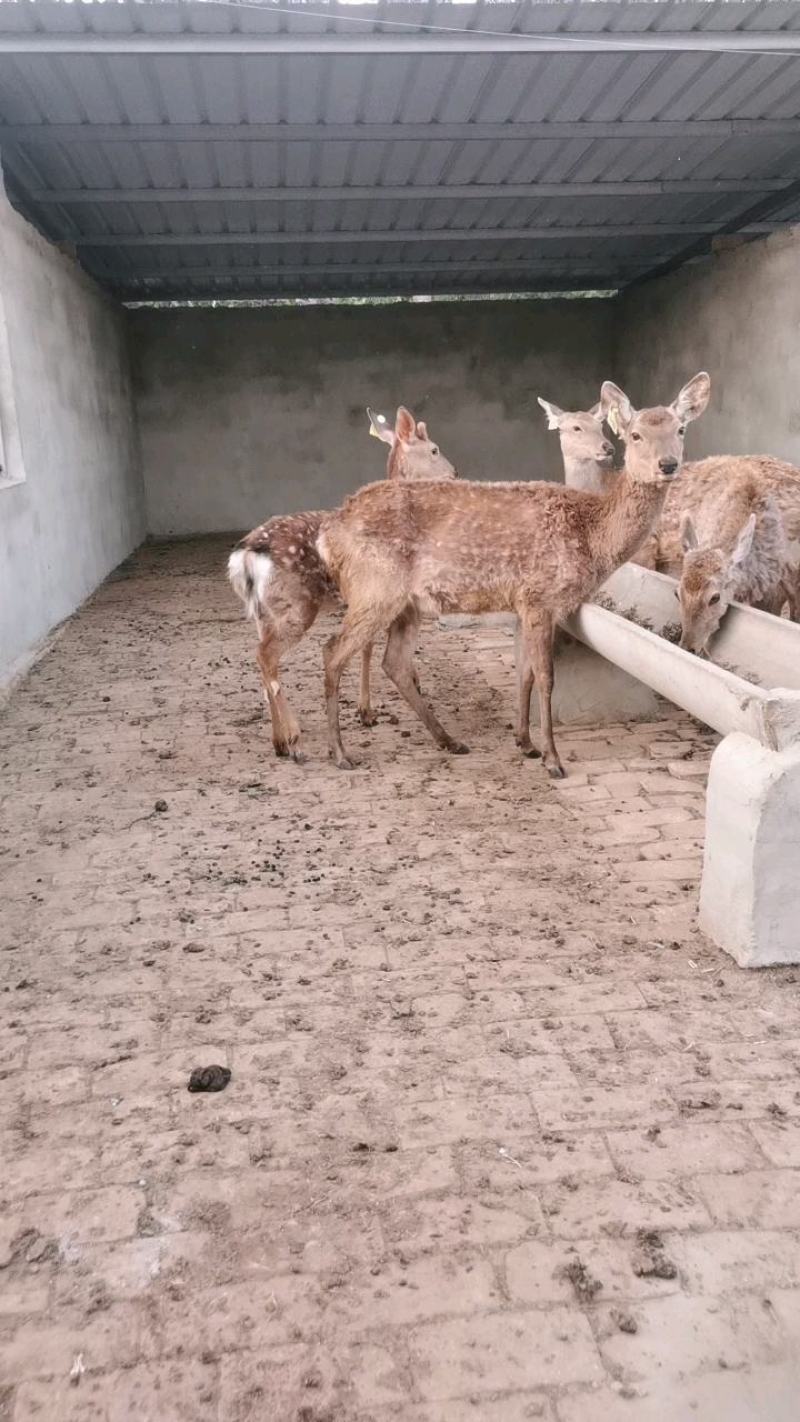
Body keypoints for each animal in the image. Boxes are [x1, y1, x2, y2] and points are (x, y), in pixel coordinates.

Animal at [227, 406, 457, 760]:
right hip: (297, 606)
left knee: (263, 657)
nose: (454, 474)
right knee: (267, 656)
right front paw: (367, 711)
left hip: (263, 612)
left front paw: (369, 709)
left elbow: (366, 646)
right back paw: (293, 738)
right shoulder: (374, 594)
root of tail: (245, 556)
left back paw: (279, 741)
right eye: (434, 449)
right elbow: (368, 646)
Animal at [316, 373, 711, 775]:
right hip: (375, 588)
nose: (668, 464)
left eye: (680, 429)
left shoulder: (522, 603)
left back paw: (449, 740)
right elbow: (546, 677)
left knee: (393, 662)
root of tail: (328, 533)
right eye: (635, 435)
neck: (592, 535)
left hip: (407, 603)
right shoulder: (540, 597)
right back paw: (340, 752)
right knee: (333, 650)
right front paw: (553, 758)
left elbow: (525, 673)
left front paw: (525, 743)